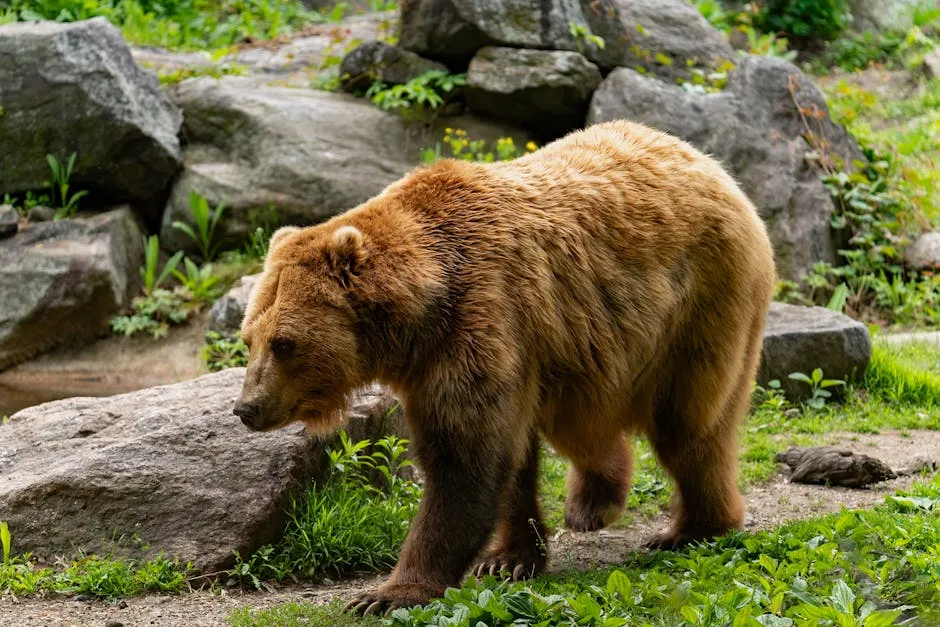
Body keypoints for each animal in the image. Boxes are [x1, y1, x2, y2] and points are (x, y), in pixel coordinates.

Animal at [234, 119, 777, 615]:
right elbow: (507, 457)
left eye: (284, 343)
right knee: (584, 426)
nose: (247, 408)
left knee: (688, 423)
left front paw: (387, 593)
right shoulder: (453, 362)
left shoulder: (481, 318)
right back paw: (592, 503)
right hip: (584, 348)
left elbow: (465, 461)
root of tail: (710, 163)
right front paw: (508, 559)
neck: (418, 318)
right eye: (249, 338)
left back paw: (693, 526)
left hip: (698, 306)